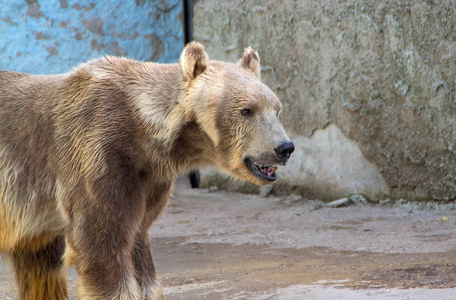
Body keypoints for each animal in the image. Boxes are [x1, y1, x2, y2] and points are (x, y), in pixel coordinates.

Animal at [0, 42, 294, 300]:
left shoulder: (149, 179)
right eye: (246, 110)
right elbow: (100, 244)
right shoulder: (98, 157)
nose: (284, 147)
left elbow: (139, 244)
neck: (145, 138)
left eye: (276, 109)